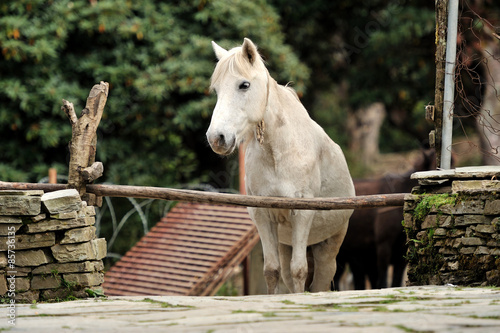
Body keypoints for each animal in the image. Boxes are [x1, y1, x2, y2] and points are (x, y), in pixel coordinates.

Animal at [207, 38, 356, 294]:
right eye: (216, 90)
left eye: (244, 85)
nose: (216, 138)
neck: (278, 153)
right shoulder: (263, 216)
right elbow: (272, 271)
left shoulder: (302, 214)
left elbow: (299, 271)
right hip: (286, 244)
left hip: (328, 248)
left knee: (318, 283)